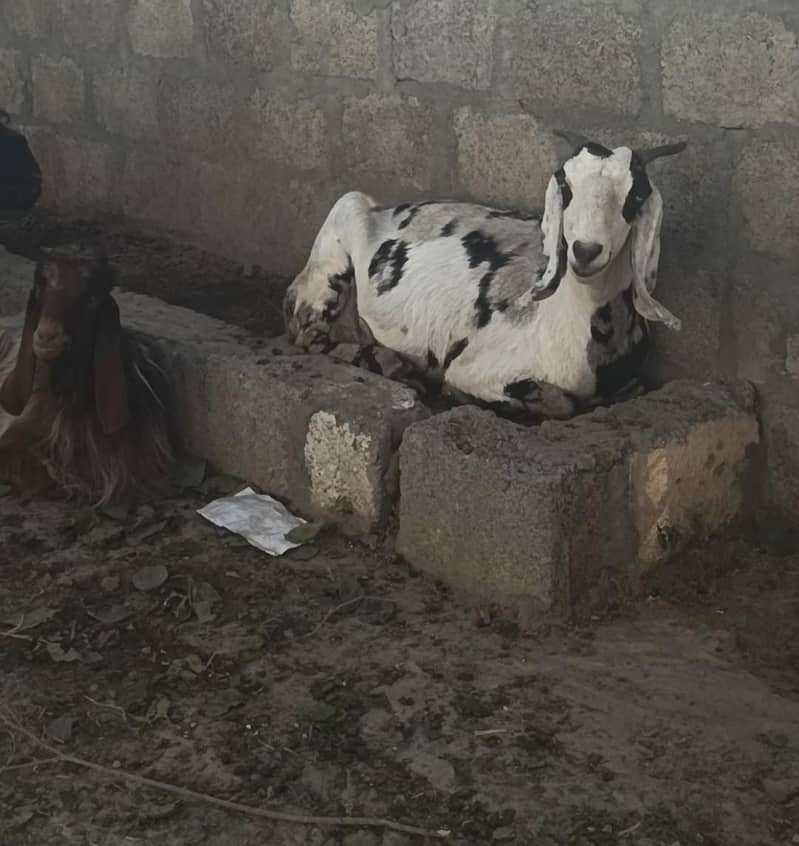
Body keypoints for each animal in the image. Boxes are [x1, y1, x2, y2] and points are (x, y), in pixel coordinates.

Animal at [284, 131, 687, 419]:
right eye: (566, 186)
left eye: (635, 196)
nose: (585, 251)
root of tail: (381, 209)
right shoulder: (476, 367)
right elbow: (559, 403)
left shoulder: (633, 382)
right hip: (328, 261)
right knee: (308, 336)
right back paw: (394, 365)